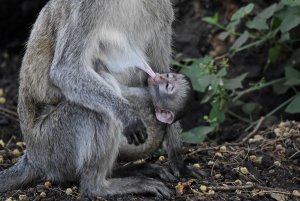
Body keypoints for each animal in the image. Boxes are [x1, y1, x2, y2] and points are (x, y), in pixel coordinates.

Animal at [0, 0, 175, 198]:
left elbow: (160, 72)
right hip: (51, 143)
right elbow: (66, 70)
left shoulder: (162, 8)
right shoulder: (85, 7)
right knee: (100, 111)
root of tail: (33, 156)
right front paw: (126, 113)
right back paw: (99, 186)